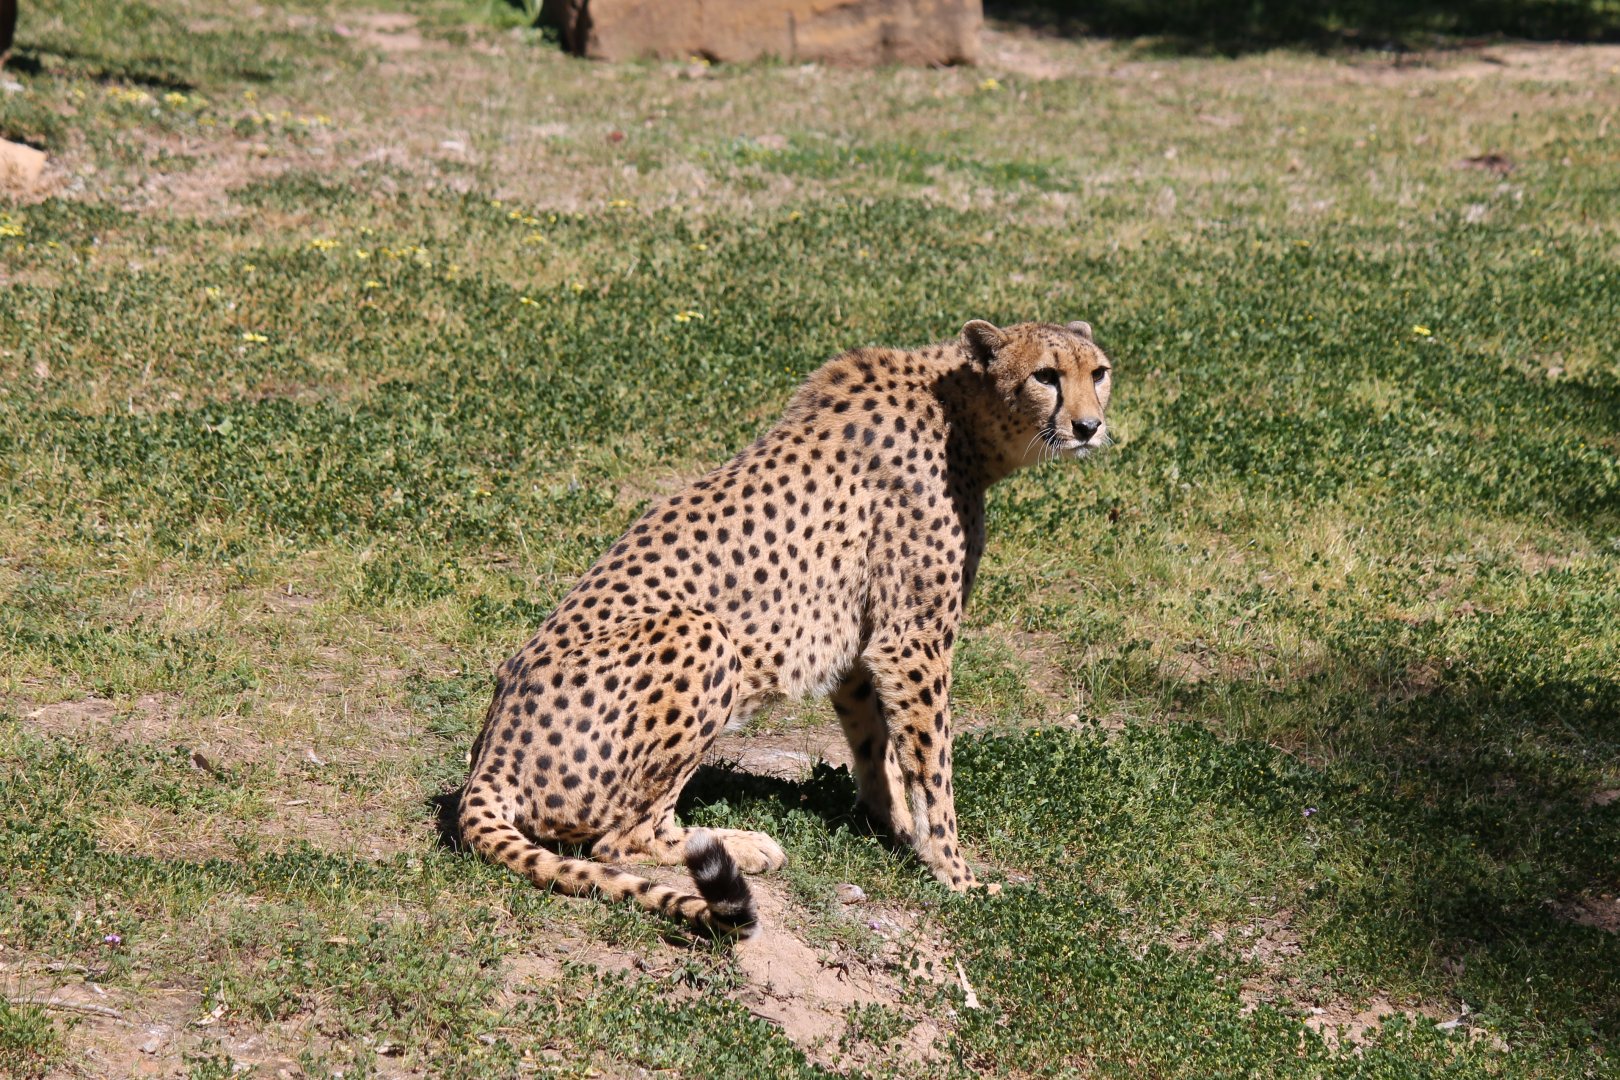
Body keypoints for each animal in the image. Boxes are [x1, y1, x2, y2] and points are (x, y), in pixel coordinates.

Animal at [458, 318, 1114, 937]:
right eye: (1046, 375)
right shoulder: (912, 643)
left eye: (1100, 372)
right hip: (704, 636)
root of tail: (490, 757)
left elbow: (877, 747)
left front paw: (895, 827)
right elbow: (934, 769)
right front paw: (957, 874)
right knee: (617, 839)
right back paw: (741, 844)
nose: (1089, 427)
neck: (960, 412)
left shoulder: (860, 644)